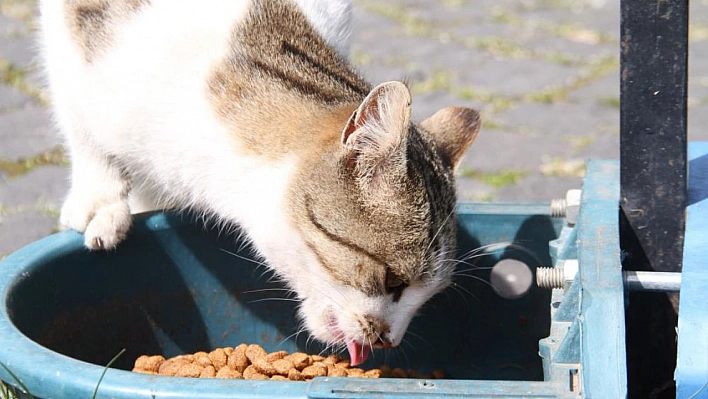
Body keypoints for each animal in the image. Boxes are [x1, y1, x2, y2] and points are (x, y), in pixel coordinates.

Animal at [38, 0, 482, 368]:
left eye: (429, 295)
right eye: (393, 281)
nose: (391, 340)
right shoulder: (74, 24)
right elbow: (77, 111)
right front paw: (100, 199)